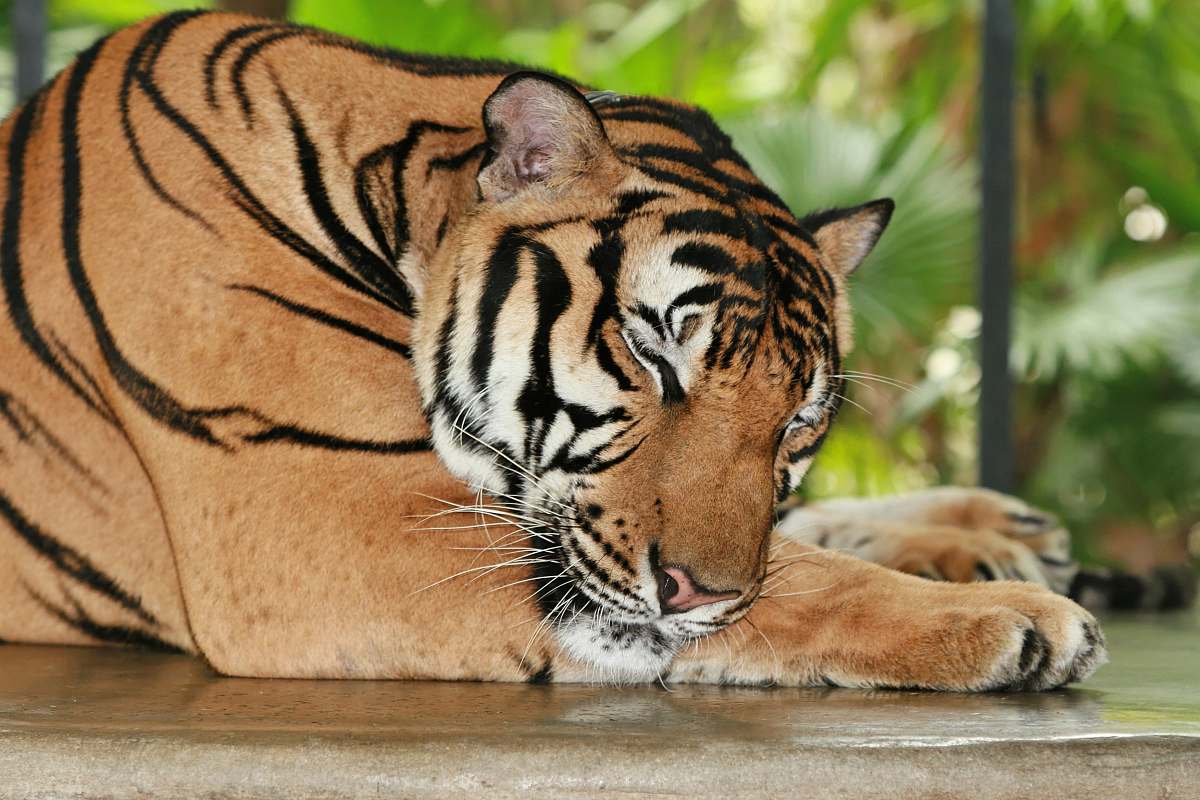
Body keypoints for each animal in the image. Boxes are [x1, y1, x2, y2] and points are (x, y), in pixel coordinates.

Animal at [0, 9, 1113, 690]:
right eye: (652, 352)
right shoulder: (327, 519)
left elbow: (791, 545)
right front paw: (1016, 618)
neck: (392, 198)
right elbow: (800, 577)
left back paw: (1000, 521)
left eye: (798, 418)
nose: (698, 593)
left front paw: (988, 553)